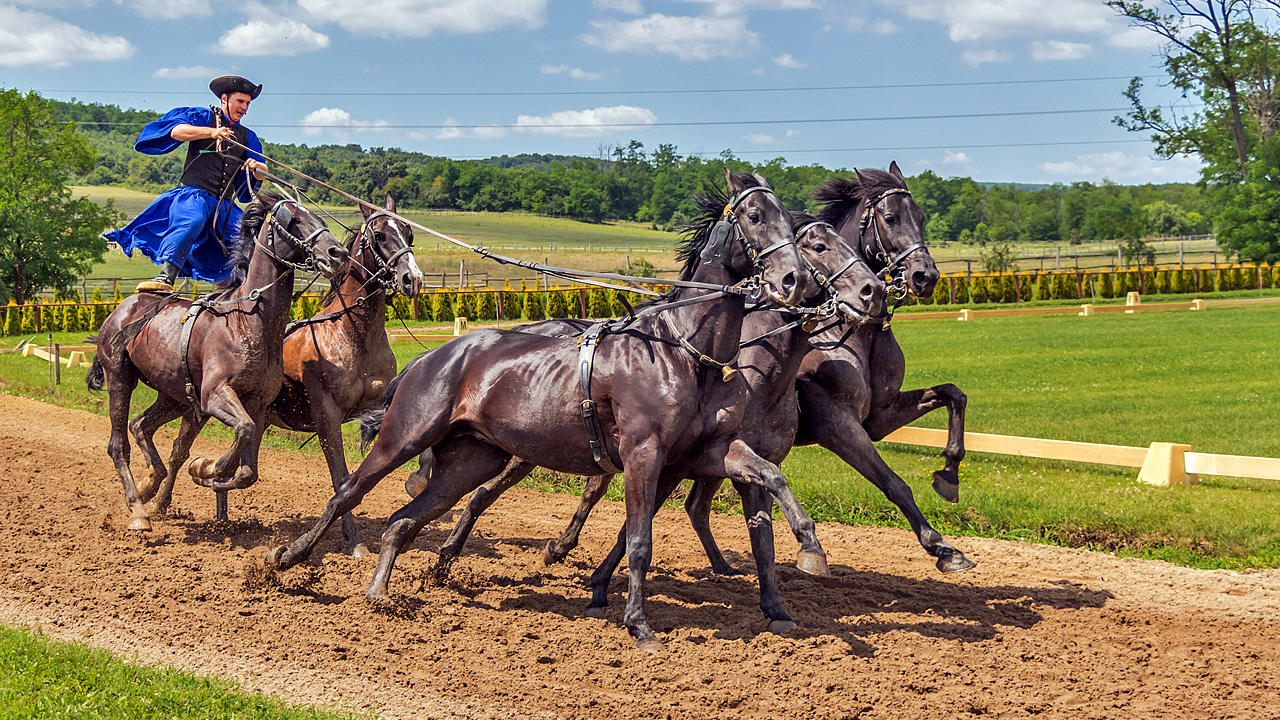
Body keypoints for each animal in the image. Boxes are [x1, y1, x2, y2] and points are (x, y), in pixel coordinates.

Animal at [88, 188, 350, 530]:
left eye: (319, 218)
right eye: (292, 219)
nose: (337, 253)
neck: (247, 320)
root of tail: (123, 308)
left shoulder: (256, 404)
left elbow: (248, 469)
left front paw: (207, 471)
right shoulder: (215, 395)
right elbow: (244, 431)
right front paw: (207, 467)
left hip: (175, 396)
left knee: (141, 425)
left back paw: (150, 482)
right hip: (120, 378)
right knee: (118, 444)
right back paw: (138, 509)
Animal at [266, 193, 422, 558]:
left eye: (409, 234)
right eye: (379, 235)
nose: (413, 279)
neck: (353, 334)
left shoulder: (378, 407)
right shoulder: (327, 417)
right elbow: (341, 478)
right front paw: (355, 542)